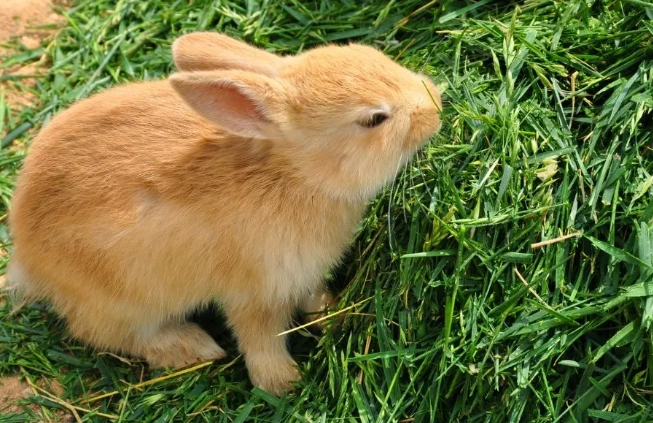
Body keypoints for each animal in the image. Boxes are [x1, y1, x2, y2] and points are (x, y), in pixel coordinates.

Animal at [6, 32, 442, 396]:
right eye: (374, 119)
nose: (435, 103)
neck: (294, 176)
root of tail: (26, 257)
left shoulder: (301, 275)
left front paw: (331, 312)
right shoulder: (255, 292)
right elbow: (260, 338)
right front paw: (283, 383)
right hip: (122, 300)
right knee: (106, 333)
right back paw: (192, 347)